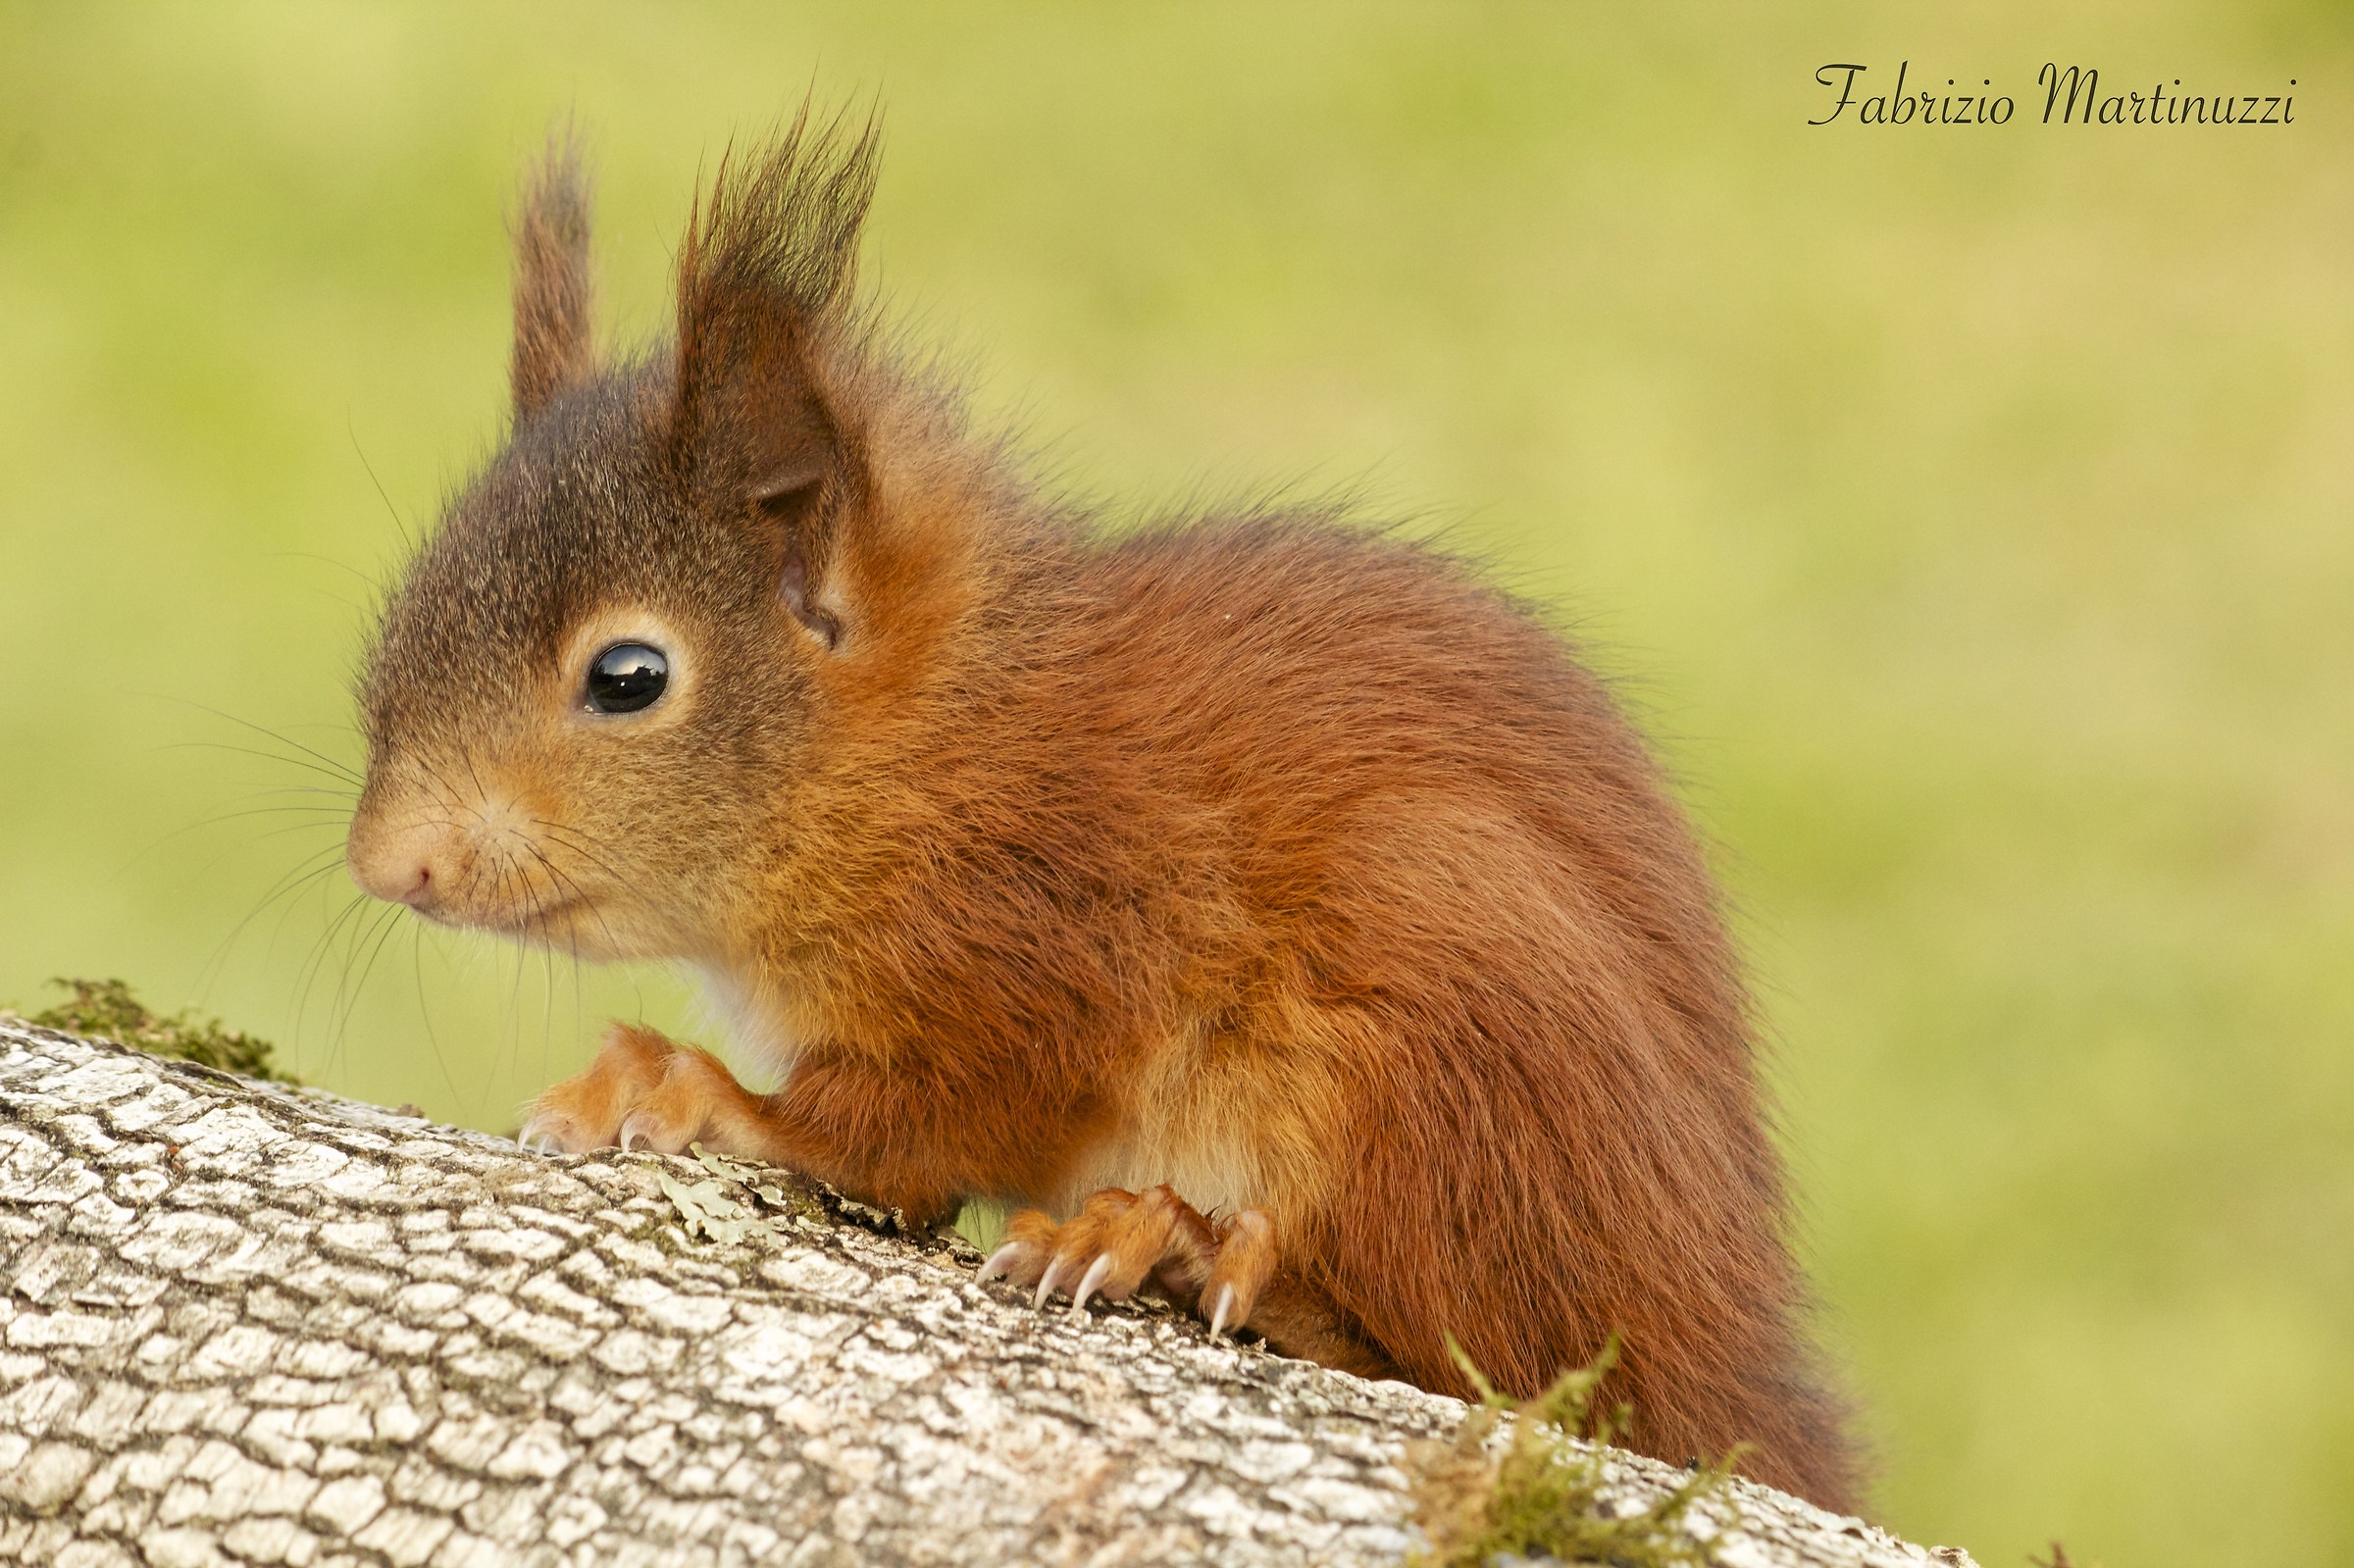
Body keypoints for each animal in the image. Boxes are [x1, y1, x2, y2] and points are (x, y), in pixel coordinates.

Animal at [345, 110, 1858, 1508]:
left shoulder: (1057, 928)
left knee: (1496, 1358)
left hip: (1450, 1020)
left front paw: (689, 1088)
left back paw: (1177, 1237)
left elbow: (906, 1123)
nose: (385, 864)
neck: (927, 747)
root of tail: (1726, 1336)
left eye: (629, 677)